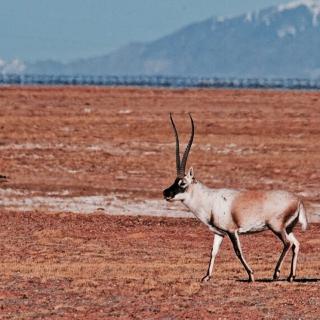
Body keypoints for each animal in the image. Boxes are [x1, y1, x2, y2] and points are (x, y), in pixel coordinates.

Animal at [162, 113, 308, 282]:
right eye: (174, 181)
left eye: (183, 183)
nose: (166, 193)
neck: (209, 199)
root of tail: (298, 200)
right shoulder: (219, 233)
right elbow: (213, 251)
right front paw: (206, 276)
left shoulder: (232, 231)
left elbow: (238, 251)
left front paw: (251, 275)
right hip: (287, 229)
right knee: (296, 244)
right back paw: (291, 276)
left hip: (276, 227)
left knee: (287, 244)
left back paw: (276, 274)